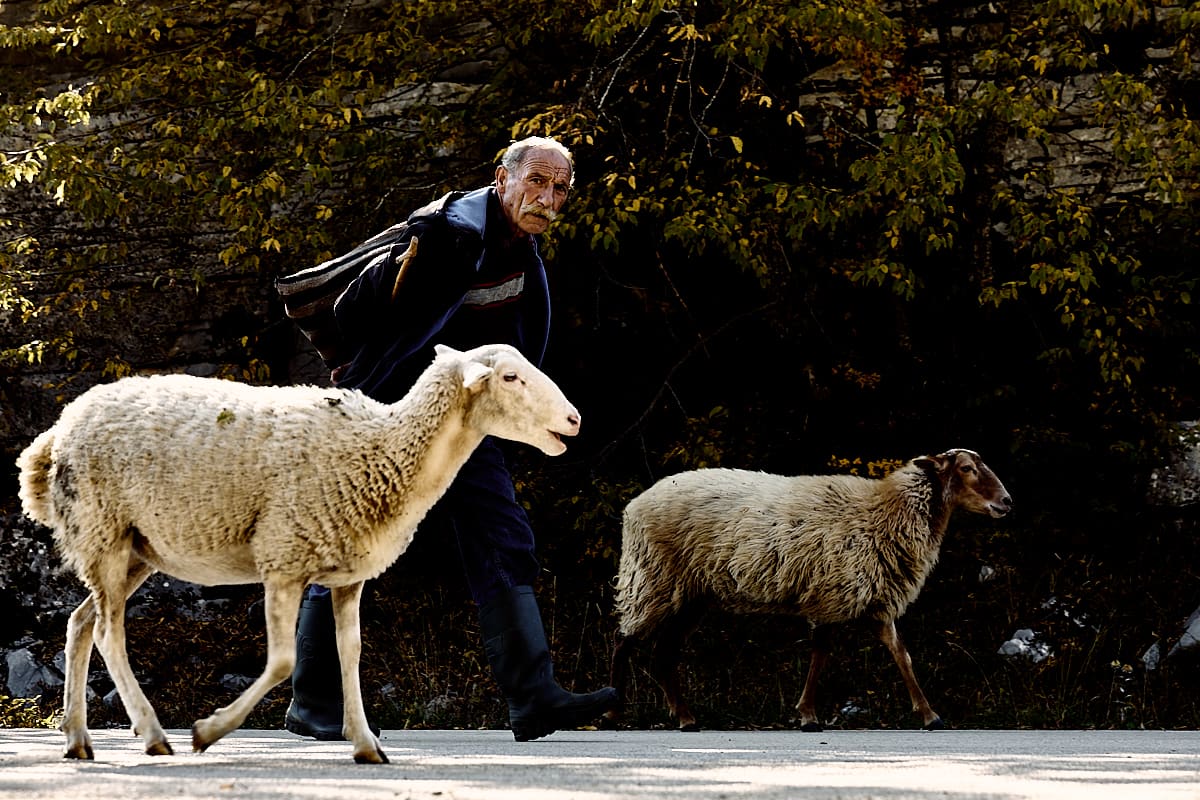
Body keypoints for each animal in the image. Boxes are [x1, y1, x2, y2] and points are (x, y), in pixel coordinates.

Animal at [15, 343, 580, 762]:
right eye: (510, 378)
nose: (575, 419)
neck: (385, 449)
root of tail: (52, 439)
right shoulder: (283, 555)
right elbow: (285, 660)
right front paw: (209, 730)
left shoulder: (347, 574)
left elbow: (351, 654)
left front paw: (365, 743)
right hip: (103, 530)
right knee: (108, 633)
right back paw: (153, 734)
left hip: (131, 548)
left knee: (80, 623)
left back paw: (77, 739)